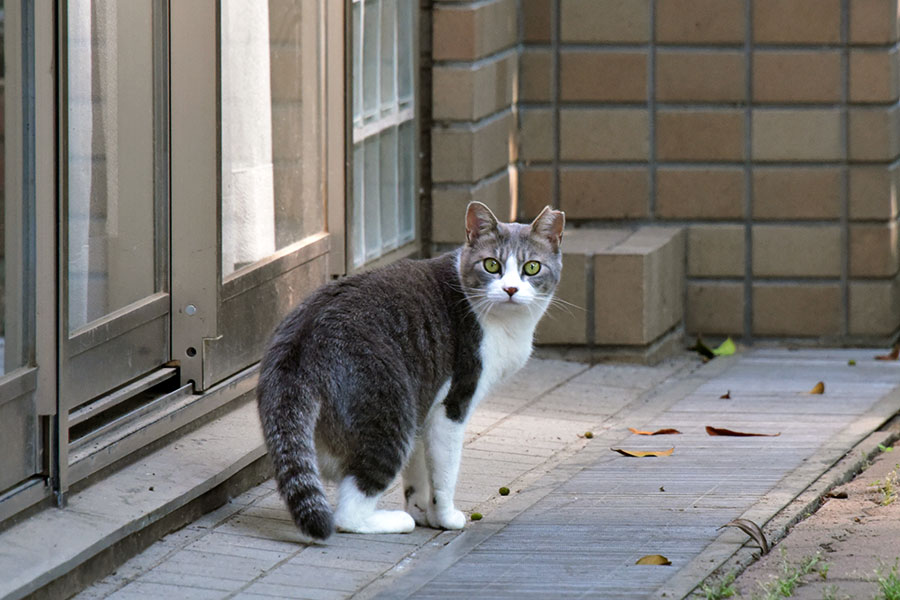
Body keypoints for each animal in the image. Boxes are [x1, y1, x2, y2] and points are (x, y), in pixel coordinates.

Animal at [255, 200, 564, 540]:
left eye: (532, 267)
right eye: (491, 265)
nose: (510, 289)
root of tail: (300, 344)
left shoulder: (424, 398)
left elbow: (418, 474)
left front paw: (422, 511)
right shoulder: (453, 404)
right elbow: (444, 473)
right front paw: (445, 517)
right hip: (391, 415)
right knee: (348, 511)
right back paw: (394, 521)